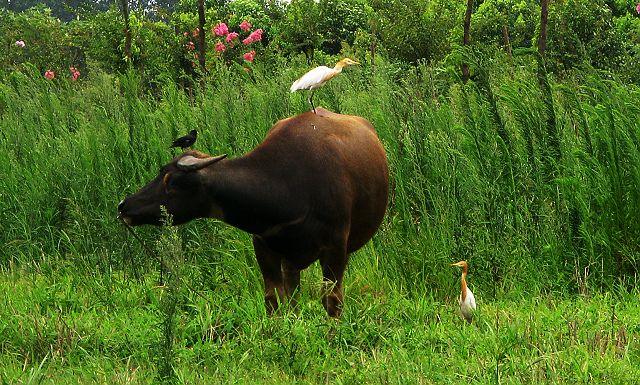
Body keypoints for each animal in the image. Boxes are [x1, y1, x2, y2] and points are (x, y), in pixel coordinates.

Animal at [120, 107, 390, 316]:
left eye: (172, 181)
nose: (123, 205)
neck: (288, 186)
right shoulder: (263, 245)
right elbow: (274, 299)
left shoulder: (335, 247)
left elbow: (332, 301)